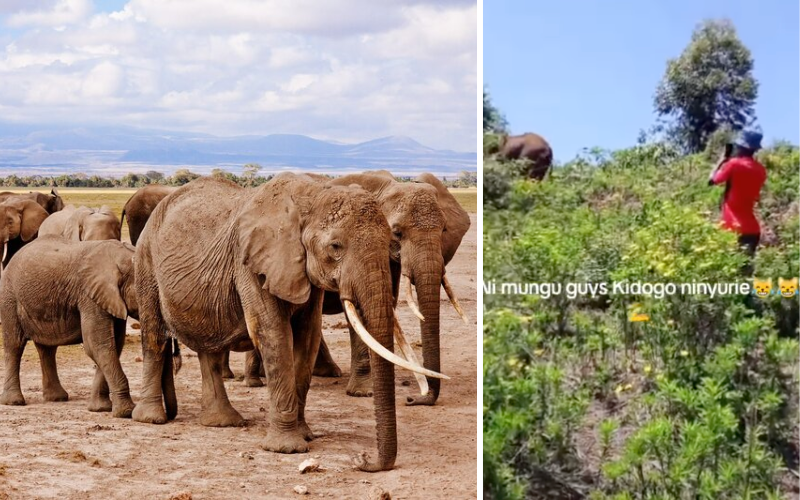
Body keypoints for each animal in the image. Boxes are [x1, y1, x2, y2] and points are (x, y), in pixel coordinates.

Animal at [0, 236, 139, 418]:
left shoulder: (110, 299)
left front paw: (100, 409)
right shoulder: (89, 297)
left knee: (47, 349)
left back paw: (56, 398)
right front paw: (126, 412)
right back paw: (14, 402)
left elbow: (113, 345)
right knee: (14, 344)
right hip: (9, 297)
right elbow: (97, 345)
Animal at [130, 174, 445, 472]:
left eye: (391, 240)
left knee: (209, 347)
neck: (312, 196)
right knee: (155, 336)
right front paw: (287, 448)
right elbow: (274, 334)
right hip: (146, 262)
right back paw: (151, 418)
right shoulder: (250, 264)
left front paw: (305, 435)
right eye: (335, 247)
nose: (364, 460)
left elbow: (307, 337)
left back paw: (222, 422)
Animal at [245, 171, 470, 406]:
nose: (412, 399)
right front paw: (364, 392)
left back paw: (325, 372)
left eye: (444, 230)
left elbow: (387, 303)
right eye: (397, 233)